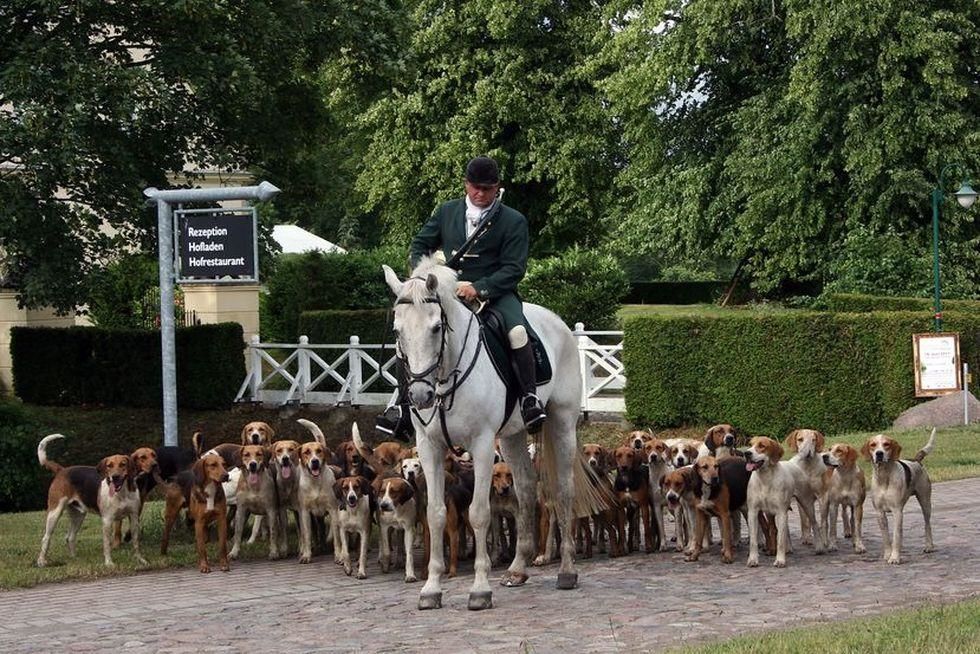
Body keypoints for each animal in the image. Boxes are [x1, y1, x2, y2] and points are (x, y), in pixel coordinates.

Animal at [37, 438, 147, 572]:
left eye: (123, 464)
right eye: (109, 465)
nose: (115, 477)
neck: (122, 494)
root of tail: (62, 470)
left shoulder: (134, 517)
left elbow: (136, 542)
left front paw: (140, 560)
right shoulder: (107, 521)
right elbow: (107, 545)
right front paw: (109, 563)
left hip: (78, 516)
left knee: (70, 537)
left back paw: (75, 558)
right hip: (54, 512)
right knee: (46, 538)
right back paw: (42, 561)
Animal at [382, 258, 604, 612]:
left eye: (436, 327)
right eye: (397, 330)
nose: (419, 395)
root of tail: (558, 323)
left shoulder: (483, 445)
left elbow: (479, 514)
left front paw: (479, 589)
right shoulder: (428, 447)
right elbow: (435, 515)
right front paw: (431, 589)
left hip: (562, 424)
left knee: (564, 491)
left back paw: (567, 571)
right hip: (512, 437)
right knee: (525, 488)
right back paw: (517, 569)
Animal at [860, 430, 936, 564]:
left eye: (886, 444)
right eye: (873, 445)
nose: (879, 453)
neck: (884, 476)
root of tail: (916, 460)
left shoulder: (897, 511)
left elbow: (896, 536)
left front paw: (895, 557)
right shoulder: (879, 513)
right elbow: (886, 537)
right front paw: (887, 554)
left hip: (925, 502)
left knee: (927, 525)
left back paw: (929, 546)